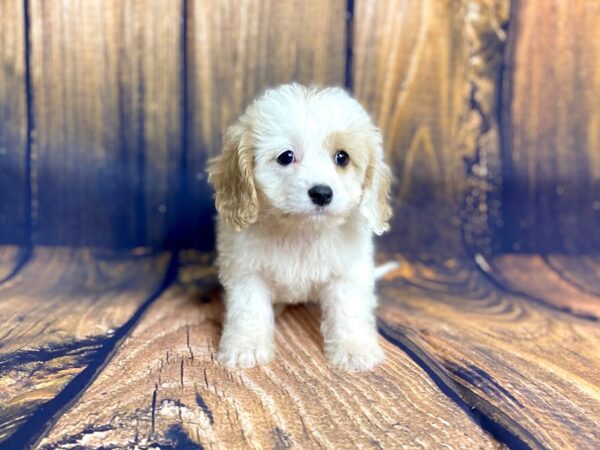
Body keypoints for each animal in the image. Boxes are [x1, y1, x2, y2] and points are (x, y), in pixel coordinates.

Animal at [207, 82, 394, 370]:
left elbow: (348, 309)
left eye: (342, 157)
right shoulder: (246, 271)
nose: (322, 193)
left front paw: (354, 349)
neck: (301, 230)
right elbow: (249, 309)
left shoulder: (348, 272)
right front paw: (246, 346)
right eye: (286, 156)